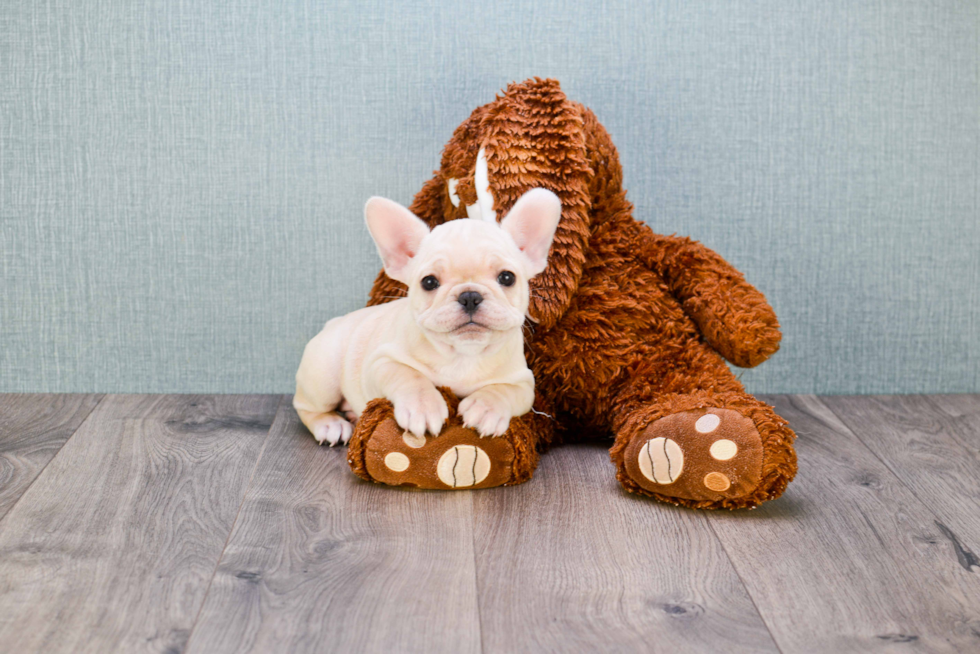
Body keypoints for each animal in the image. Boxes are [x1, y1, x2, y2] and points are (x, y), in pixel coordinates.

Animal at [292, 187, 560, 448]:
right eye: (429, 282)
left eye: (507, 277)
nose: (469, 295)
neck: (463, 354)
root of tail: (334, 323)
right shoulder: (381, 362)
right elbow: (409, 376)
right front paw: (422, 407)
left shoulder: (523, 383)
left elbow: (504, 390)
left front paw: (486, 408)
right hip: (324, 376)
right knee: (305, 406)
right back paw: (331, 424)